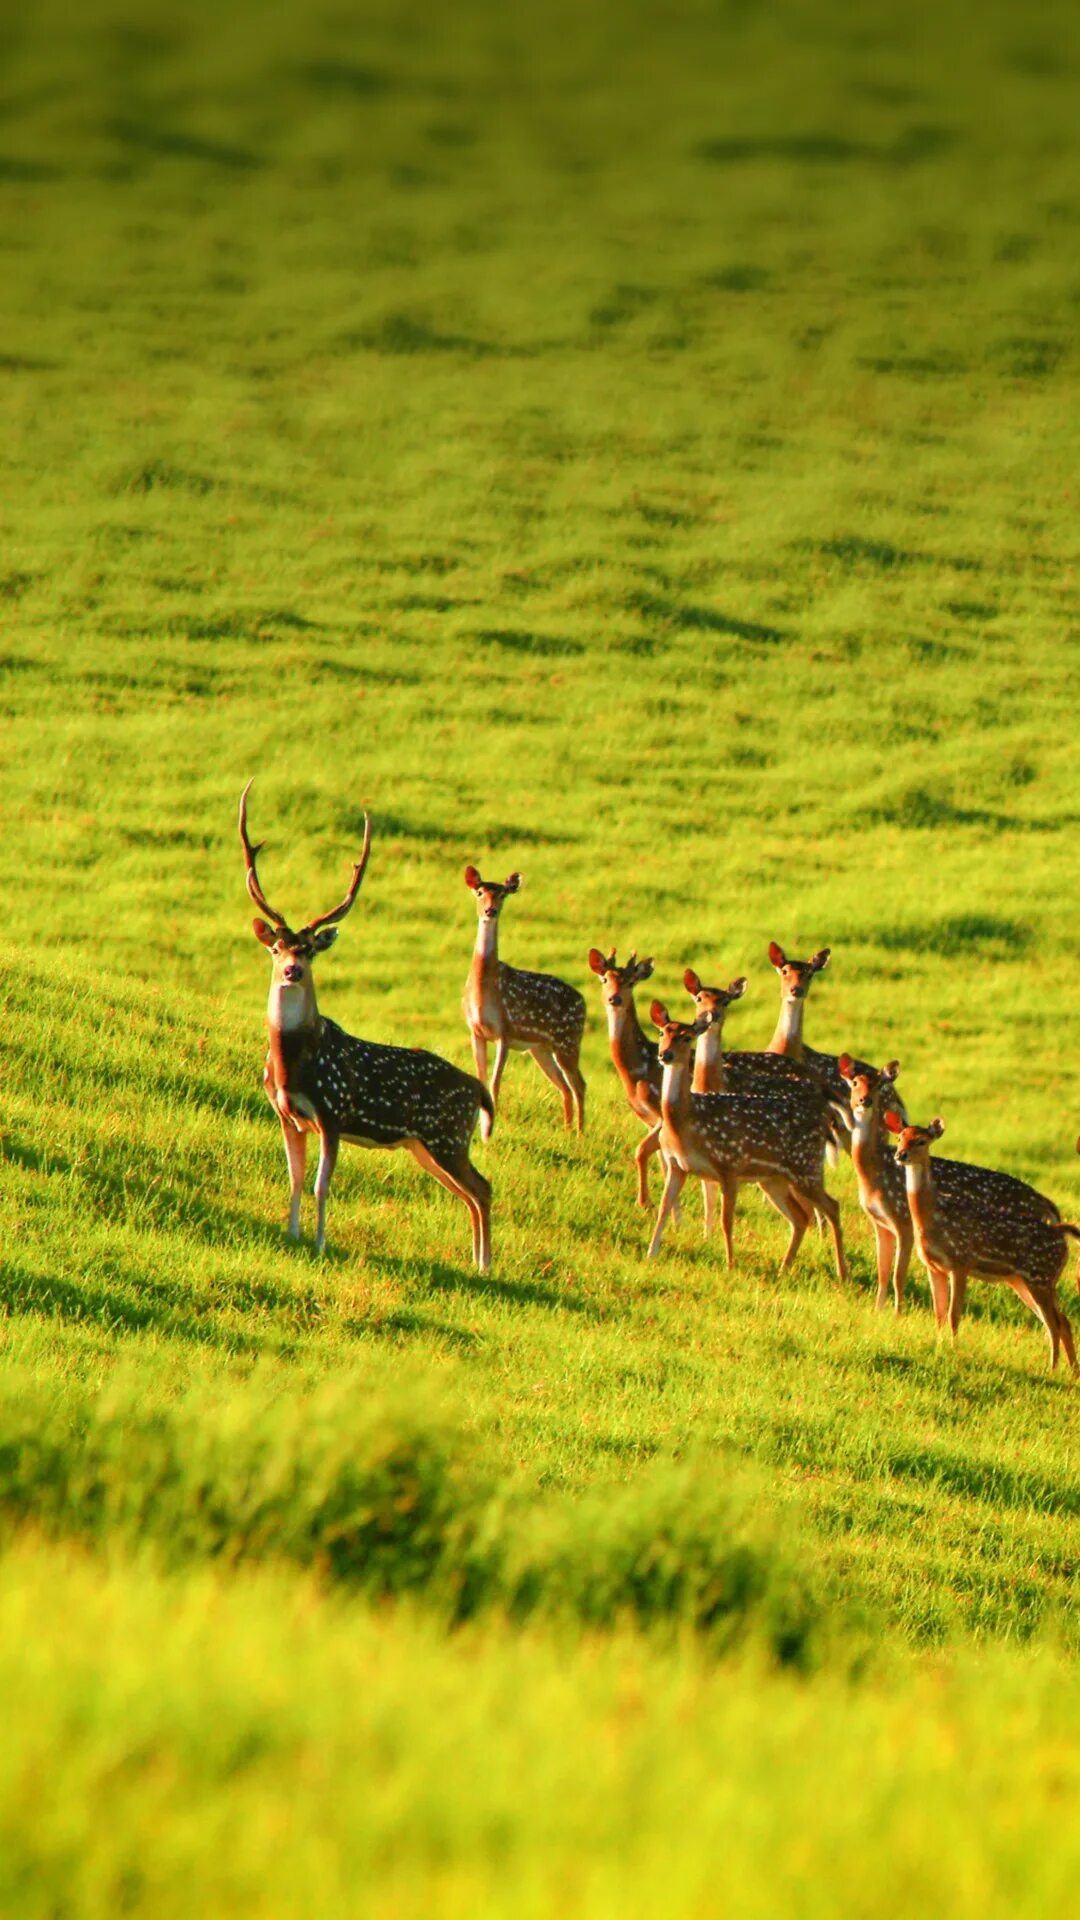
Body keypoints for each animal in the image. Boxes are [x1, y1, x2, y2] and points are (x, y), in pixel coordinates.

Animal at [239, 779, 491, 1274]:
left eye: (309, 950)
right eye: (277, 948)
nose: (292, 970)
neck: (292, 1063)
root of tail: (479, 1090)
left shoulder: (334, 1111)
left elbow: (321, 1184)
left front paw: (319, 1244)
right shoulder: (287, 1114)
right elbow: (295, 1178)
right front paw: (291, 1235)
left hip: (447, 1135)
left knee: (483, 1189)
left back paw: (486, 1264)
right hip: (427, 1145)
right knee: (472, 1194)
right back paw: (477, 1261)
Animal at [461, 871, 584, 1136]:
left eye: (502, 894)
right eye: (480, 892)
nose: (490, 910)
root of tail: (583, 1002)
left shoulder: (506, 1030)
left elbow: (495, 1082)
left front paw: (492, 1126)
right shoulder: (476, 1031)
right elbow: (482, 1078)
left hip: (568, 1040)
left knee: (579, 1083)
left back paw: (580, 1133)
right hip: (540, 1048)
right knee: (564, 1086)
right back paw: (567, 1130)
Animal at [638, 998, 841, 1282]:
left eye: (687, 1037)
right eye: (661, 1033)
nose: (665, 1055)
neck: (685, 1123)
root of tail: (824, 1124)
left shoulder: (729, 1165)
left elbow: (726, 1220)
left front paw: (730, 1264)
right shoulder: (677, 1164)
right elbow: (664, 1208)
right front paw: (651, 1253)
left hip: (806, 1168)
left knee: (832, 1206)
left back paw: (842, 1273)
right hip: (774, 1179)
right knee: (800, 1217)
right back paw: (783, 1269)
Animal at [880, 1105, 1068, 1374]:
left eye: (921, 1140)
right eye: (900, 1138)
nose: (901, 1155)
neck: (934, 1215)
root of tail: (1063, 1239)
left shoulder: (961, 1261)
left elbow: (953, 1314)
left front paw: (953, 1349)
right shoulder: (933, 1266)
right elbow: (939, 1313)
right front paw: (939, 1346)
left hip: (1040, 1277)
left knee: (1054, 1323)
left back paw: (1052, 1369)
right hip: (1027, 1281)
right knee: (1060, 1319)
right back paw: (1070, 1370)